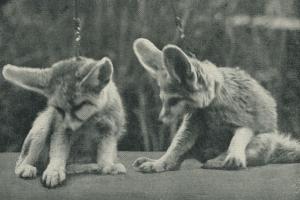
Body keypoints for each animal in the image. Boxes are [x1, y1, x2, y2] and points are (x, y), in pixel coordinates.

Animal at [1, 56, 125, 188]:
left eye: (79, 106)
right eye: (59, 109)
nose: (69, 128)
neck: (90, 118)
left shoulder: (109, 129)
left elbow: (106, 151)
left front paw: (108, 165)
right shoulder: (60, 128)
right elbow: (58, 150)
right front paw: (54, 170)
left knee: (70, 165)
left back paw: (89, 167)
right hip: (44, 125)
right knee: (20, 163)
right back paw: (26, 167)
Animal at [132, 38, 298, 173]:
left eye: (174, 101)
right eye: (163, 100)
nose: (159, 121)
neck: (213, 105)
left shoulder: (244, 123)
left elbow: (236, 140)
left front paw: (233, 155)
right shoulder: (191, 124)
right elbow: (175, 147)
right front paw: (160, 162)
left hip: (262, 139)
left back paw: (219, 160)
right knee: (179, 158)